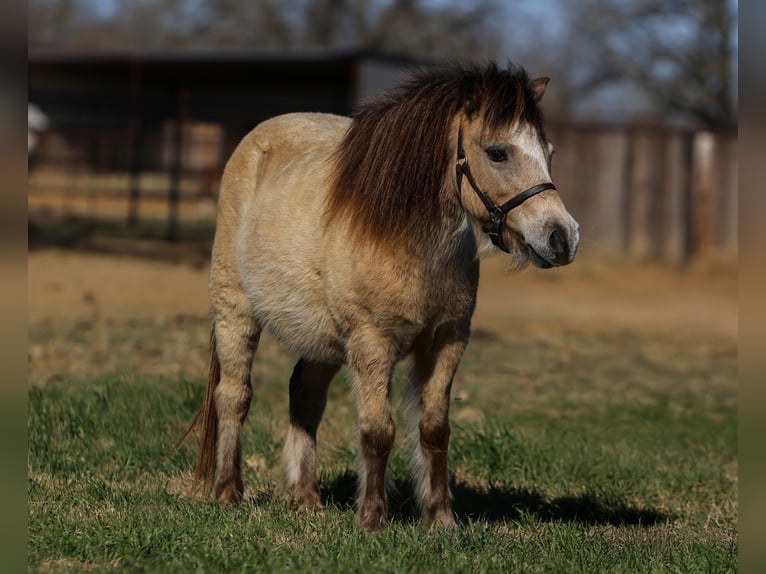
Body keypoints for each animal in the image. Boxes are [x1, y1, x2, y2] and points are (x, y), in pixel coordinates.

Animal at [184, 62, 579, 531]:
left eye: (549, 152)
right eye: (498, 153)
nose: (562, 238)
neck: (402, 237)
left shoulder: (447, 342)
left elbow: (434, 428)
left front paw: (440, 519)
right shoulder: (372, 344)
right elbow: (378, 431)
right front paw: (372, 519)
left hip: (324, 339)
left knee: (304, 396)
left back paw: (306, 498)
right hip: (235, 312)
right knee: (234, 395)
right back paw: (229, 491)